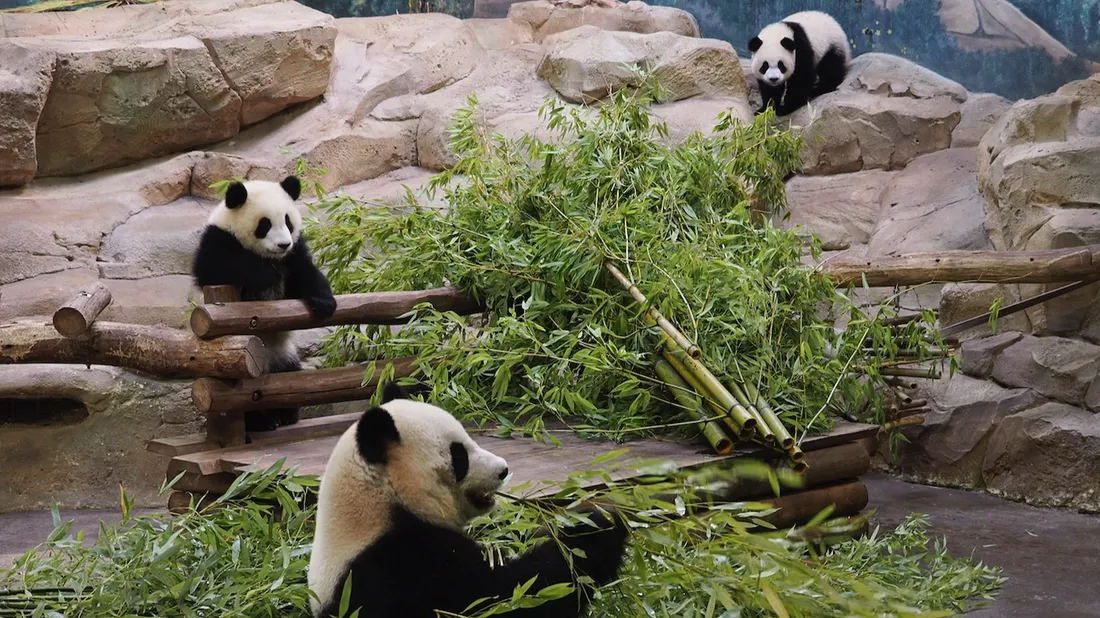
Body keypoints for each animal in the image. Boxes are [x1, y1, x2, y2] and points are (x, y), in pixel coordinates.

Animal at [192, 175, 337, 433]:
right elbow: (214, 268)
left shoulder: (295, 252)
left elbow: (306, 274)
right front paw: (266, 275)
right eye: (264, 225)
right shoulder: (218, 241)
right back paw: (263, 421)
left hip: (283, 355)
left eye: (288, 222)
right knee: (246, 395)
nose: (283, 244)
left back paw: (285, 414)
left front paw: (324, 302)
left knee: (289, 378)